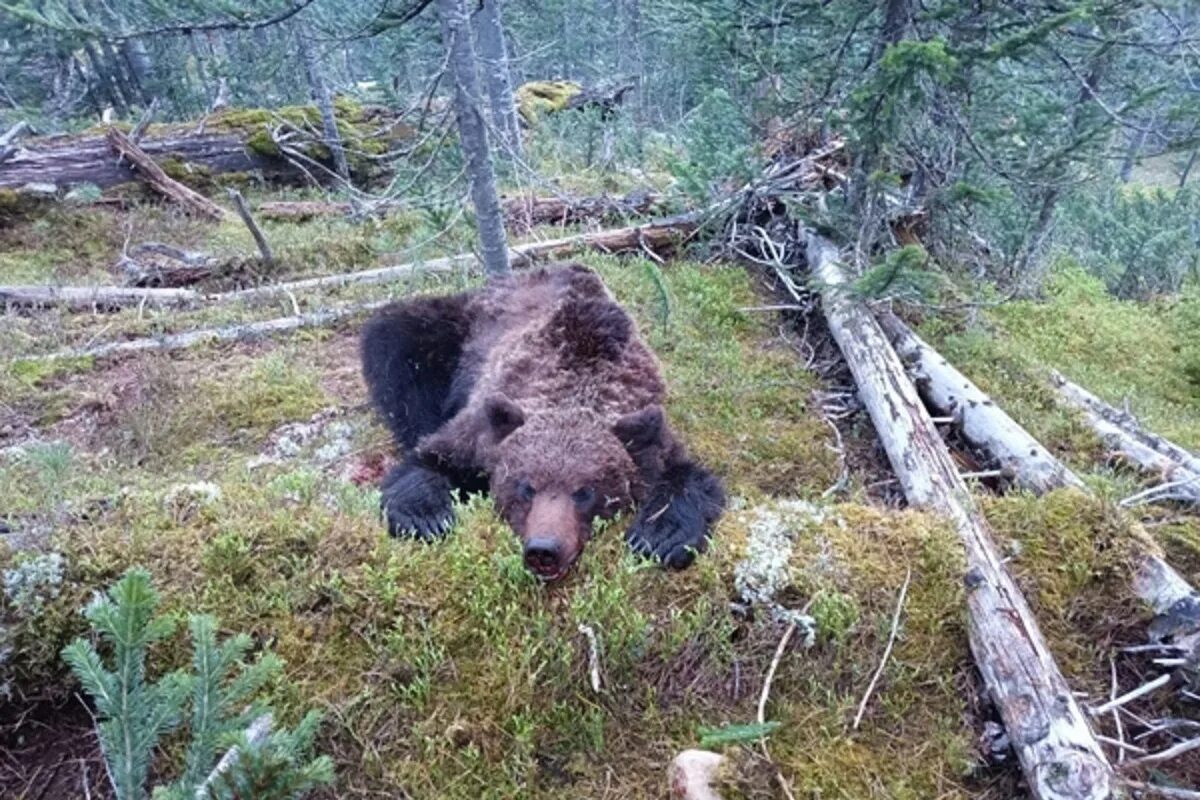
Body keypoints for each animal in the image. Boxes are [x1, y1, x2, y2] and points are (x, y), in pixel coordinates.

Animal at [360, 266, 724, 578]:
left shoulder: (649, 427)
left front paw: (660, 536)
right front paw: (426, 517)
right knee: (397, 341)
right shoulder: (482, 428)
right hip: (455, 330)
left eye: (585, 491)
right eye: (526, 487)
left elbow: (689, 478)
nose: (544, 550)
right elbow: (429, 458)